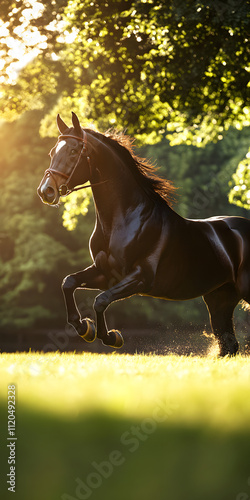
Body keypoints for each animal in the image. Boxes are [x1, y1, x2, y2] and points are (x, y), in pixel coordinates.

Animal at [38, 113, 250, 356]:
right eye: (52, 152)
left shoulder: (140, 278)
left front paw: (111, 337)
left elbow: (100, 300)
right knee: (228, 345)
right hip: (219, 298)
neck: (124, 220)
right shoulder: (106, 274)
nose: (46, 191)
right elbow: (69, 282)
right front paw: (85, 328)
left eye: (74, 151)